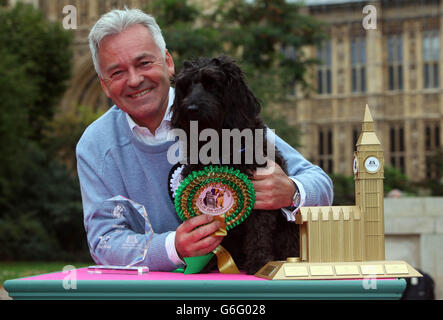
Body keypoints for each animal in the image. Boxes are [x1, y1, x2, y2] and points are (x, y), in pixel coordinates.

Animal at [170, 55, 302, 276]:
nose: (190, 109)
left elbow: (258, 233)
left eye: (212, 84)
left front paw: (258, 262)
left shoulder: (260, 199)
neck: (219, 141)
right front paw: (203, 263)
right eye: (185, 86)